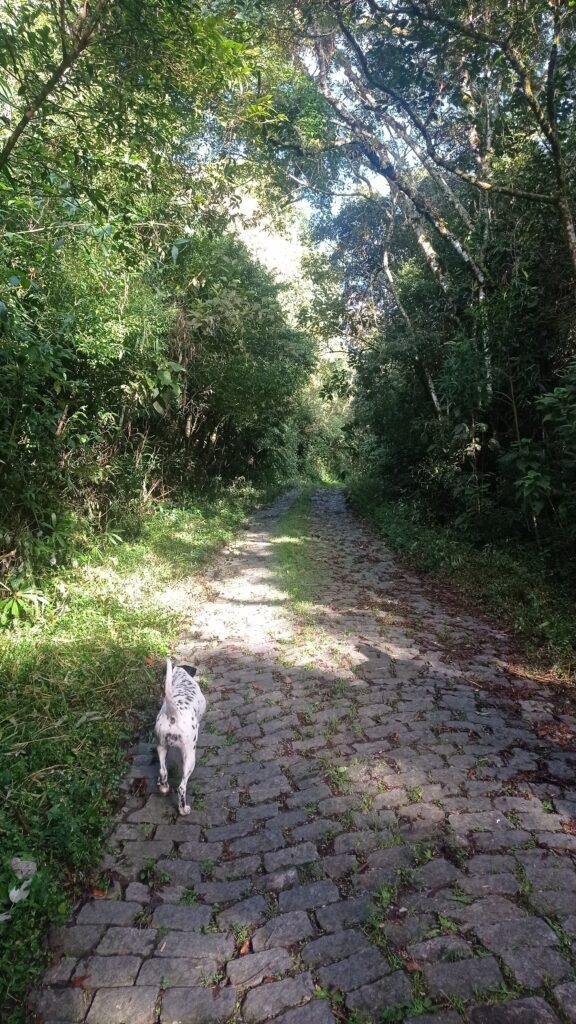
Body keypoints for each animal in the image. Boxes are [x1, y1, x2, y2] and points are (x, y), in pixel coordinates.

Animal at [153, 655, 204, 815]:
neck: (181, 678)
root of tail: (173, 715)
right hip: (189, 757)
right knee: (182, 787)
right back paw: (183, 809)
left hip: (161, 746)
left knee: (163, 771)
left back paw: (164, 787)